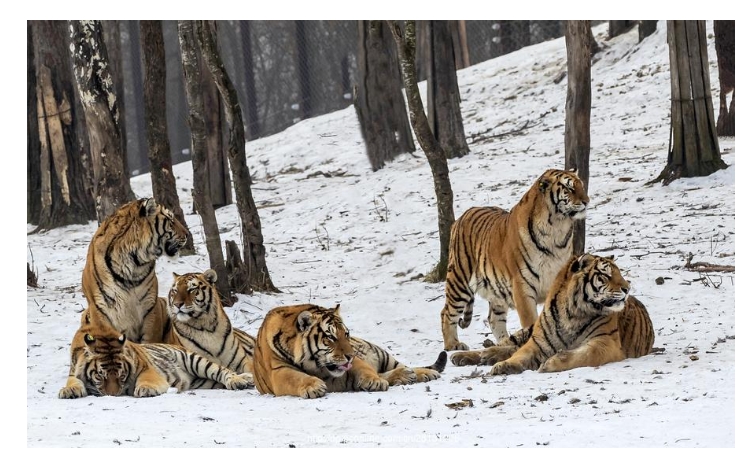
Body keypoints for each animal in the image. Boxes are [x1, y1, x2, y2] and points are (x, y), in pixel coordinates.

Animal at [58, 322, 256, 400]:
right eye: (100, 376)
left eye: (121, 375)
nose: (113, 395)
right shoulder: (74, 371)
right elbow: (73, 381)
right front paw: (69, 390)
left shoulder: (147, 368)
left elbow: (145, 379)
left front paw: (146, 389)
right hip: (204, 382)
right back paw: (247, 380)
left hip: (196, 361)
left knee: (223, 371)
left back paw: (238, 381)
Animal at [256, 304, 450, 400]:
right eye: (330, 337)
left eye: (346, 334)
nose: (350, 355)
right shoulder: (278, 371)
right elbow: (296, 377)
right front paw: (314, 386)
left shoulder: (355, 362)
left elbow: (365, 369)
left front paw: (374, 381)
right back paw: (404, 375)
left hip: (382, 354)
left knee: (400, 365)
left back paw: (421, 373)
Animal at [440, 169, 592, 352]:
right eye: (569, 188)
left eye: (581, 185)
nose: (587, 201)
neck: (556, 229)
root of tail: (462, 216)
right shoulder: (522, 286)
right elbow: (531, 320)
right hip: (459, 280)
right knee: (447, 312)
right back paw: (453, 345)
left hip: (496, 289)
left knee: (494, 318)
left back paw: (504, 343)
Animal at [450, 253, 656, 376]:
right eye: (606, 275)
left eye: (619, 273)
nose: (627, 288)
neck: (574, 313)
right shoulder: (538, 342)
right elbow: (520, 354)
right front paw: (504, 366)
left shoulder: (606, 343)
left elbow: (582, 355)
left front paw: (550, 363)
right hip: (528, 330)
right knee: (507, 345)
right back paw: (466, 356)